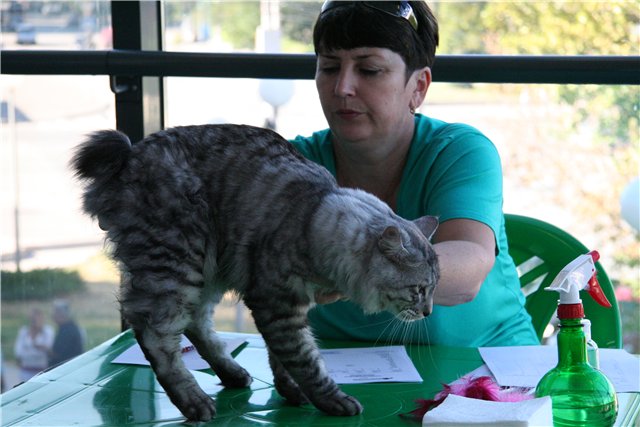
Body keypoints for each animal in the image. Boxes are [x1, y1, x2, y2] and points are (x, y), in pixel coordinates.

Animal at [71, 124, 439, 421]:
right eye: (419, 290)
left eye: (433, 289)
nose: (427, 311)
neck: (313, 216)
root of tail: (129, 154)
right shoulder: (275, 302)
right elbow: (305, 359)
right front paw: (331, 399)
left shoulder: (286, 307)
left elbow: (282, 357)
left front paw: (291, 390)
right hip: (178, 260)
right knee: (155, 335)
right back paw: (193, 401)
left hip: (208, 269)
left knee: (196, 324)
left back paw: (232, 373)